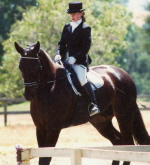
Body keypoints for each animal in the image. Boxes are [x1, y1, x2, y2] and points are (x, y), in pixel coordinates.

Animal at [14, 40, 150, 164]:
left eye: (35, 67)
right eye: (20, 67)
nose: (28, 94)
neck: (49, 87)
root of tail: (123, 74)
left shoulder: (53, 128)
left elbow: (45, 158)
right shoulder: (40, 128)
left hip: (123, 115)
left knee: (128, 144)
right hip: (101, 121)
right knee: (118, 142)